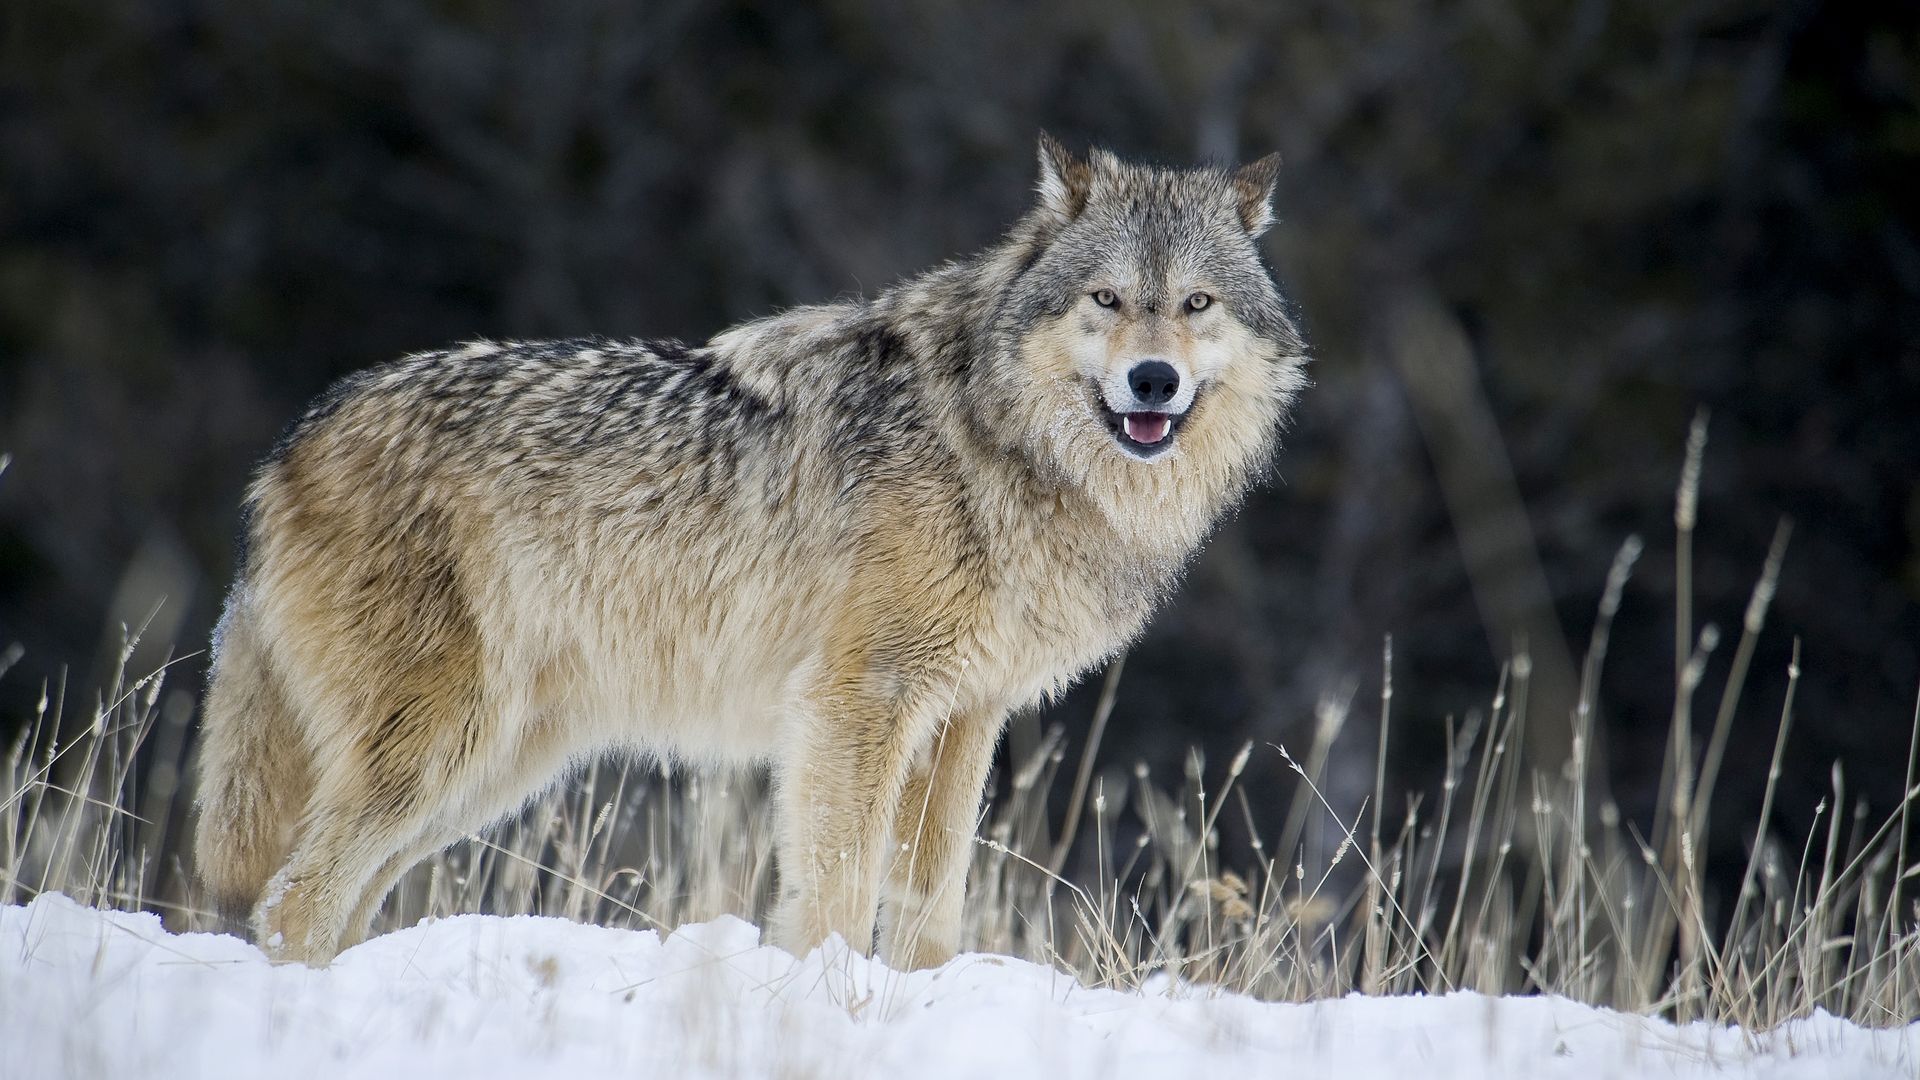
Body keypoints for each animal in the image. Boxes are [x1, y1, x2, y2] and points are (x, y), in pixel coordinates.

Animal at [192, 135, 1309, 969]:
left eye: (1196, 304)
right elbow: (837, 889)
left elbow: (929, 903)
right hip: (443, 747)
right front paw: (825, 997)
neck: (994, 441)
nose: (1155, 381)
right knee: (293, 900)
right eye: (1108, 300)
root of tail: (288, 445)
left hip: (491, 767)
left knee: (331, 902)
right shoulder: (858, 702)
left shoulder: (964, 718)